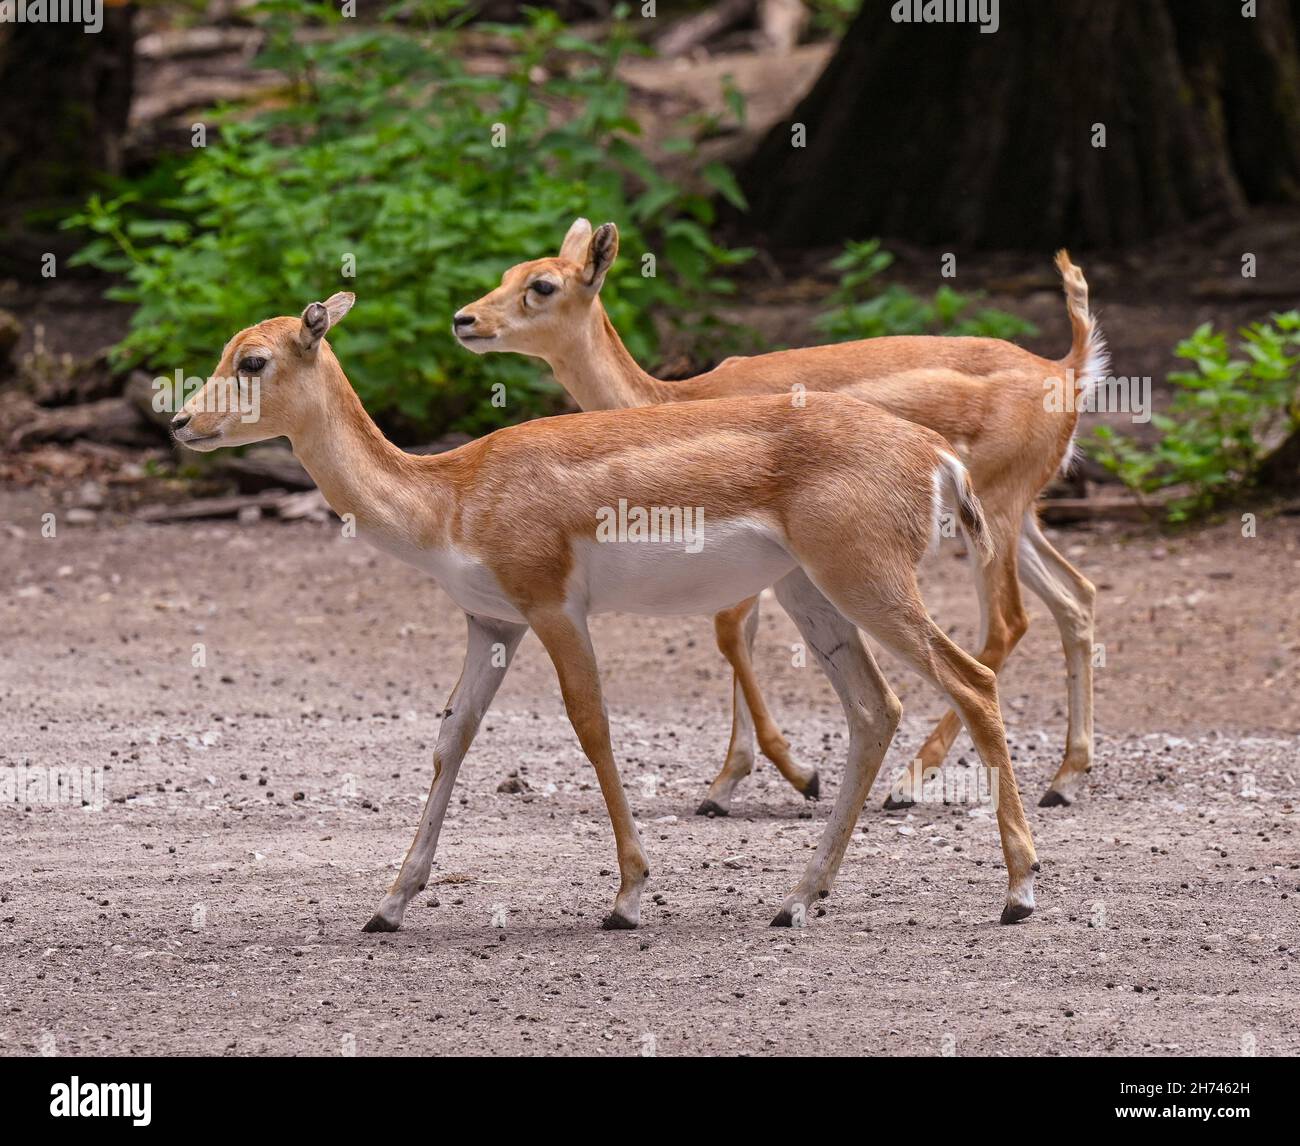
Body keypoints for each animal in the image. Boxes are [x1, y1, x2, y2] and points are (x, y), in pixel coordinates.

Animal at [175, 292, 1045, 930]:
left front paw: (626, 896)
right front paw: (388, 905)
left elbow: (591, 727)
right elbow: (450, 739)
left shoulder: (554, 606)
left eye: (253, 359)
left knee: (971, 680)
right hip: (811, 591)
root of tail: (936, 457)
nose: (182, 421)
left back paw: (1018, 892)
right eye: (225, 347)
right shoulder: (492, 622)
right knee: (875, 708)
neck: (451, 496)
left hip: (865, 580)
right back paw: (796, 899)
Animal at [457, 223, 1107, 810]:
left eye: (541, 284)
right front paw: (727, 785)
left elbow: (728, 633)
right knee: (1075, 595)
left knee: (1006, 623)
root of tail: (1068, 369)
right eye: (507, 273)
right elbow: (734, 635)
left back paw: (910, 783)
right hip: (1019, 516)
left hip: (991, 515)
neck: (672, 398)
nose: (465, 319)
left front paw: (792, 777)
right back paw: (1063, 779)